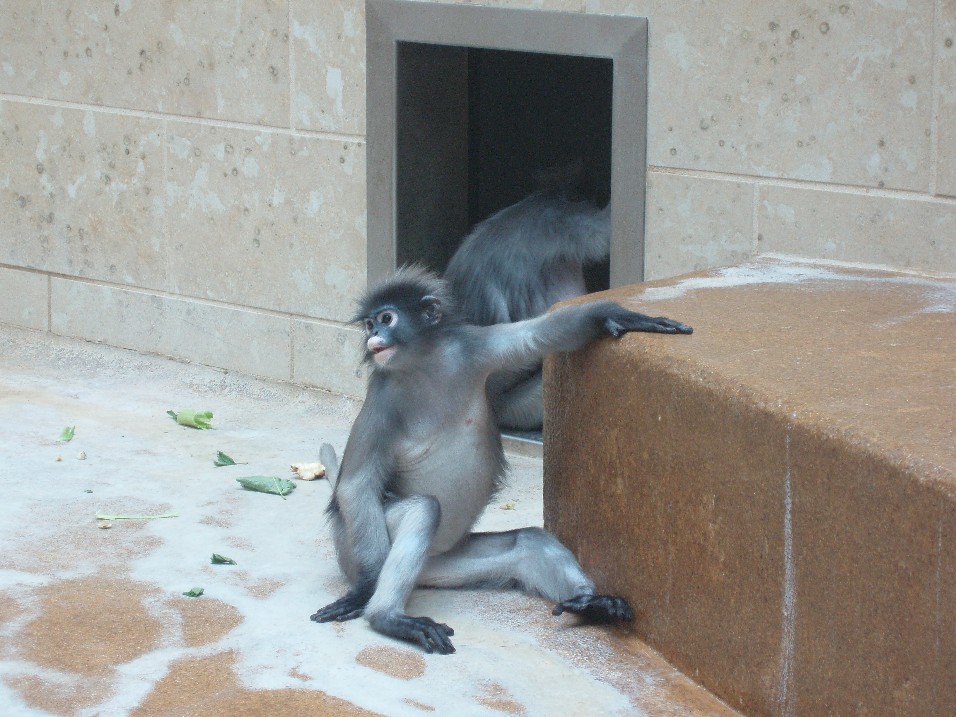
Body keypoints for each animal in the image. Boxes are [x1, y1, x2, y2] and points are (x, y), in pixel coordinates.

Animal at [310, 266, 692, 654]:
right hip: (352, 546)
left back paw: (592, 603)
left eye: (386, 319)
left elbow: (538, 335)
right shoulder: (381, 397)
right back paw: (387, 615)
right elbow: (356, 485)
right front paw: (365, 591)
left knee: (528, 542)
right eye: (370, 323)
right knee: (424, 509)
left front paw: (614, 316)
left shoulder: (470, 349)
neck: (424, 366)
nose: (375, 336)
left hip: (446, 563)